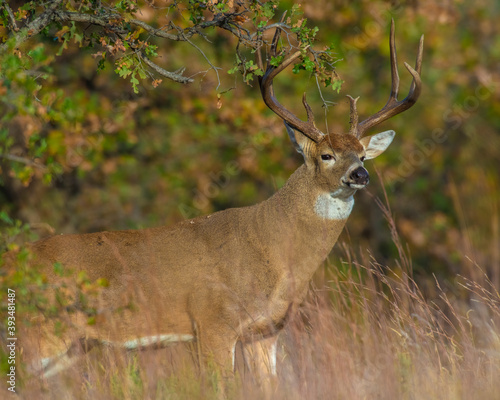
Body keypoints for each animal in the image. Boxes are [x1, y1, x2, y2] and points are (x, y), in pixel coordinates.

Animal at [1, 21, 422, 384]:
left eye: (363, 155)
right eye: (326, 156)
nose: (360, 175)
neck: (273, 249)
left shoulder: (265, 331)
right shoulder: (213, 321)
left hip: (68, 347)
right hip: (34, 335)